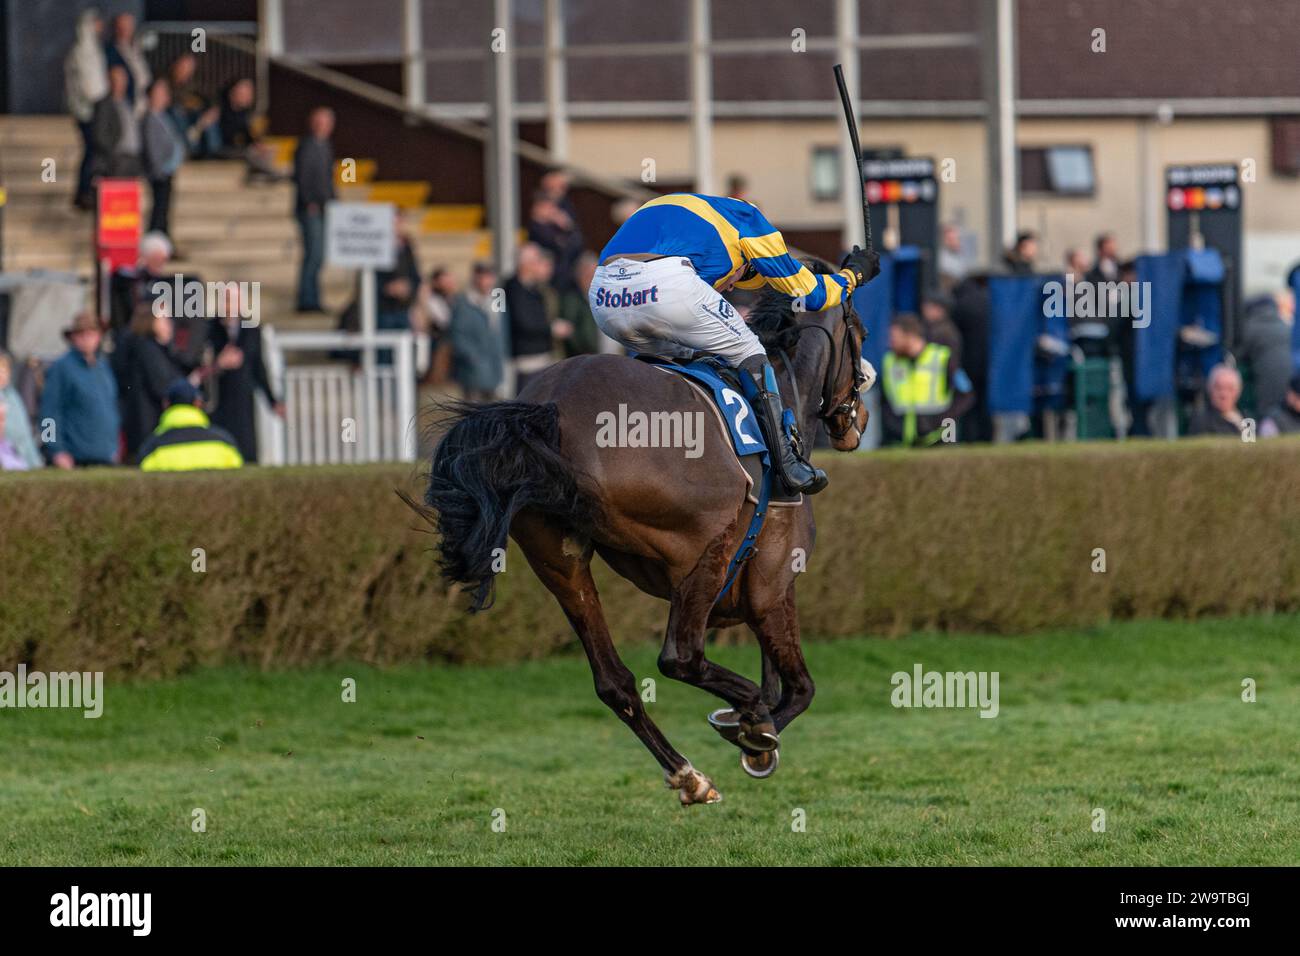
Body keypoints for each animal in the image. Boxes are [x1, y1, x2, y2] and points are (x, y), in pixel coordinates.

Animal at [410, 257, 868, 806]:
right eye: (861, 336)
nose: (858, 419)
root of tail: (549, 409)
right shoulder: (772, 585)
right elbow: (800, 688)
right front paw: (755, 737)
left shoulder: (759, 593)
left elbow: (783, 680)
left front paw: (750, 731)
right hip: (708, 542)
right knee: (680, 656)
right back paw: (747, 714)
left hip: (558, 559)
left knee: (614, 681)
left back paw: (690, 775)